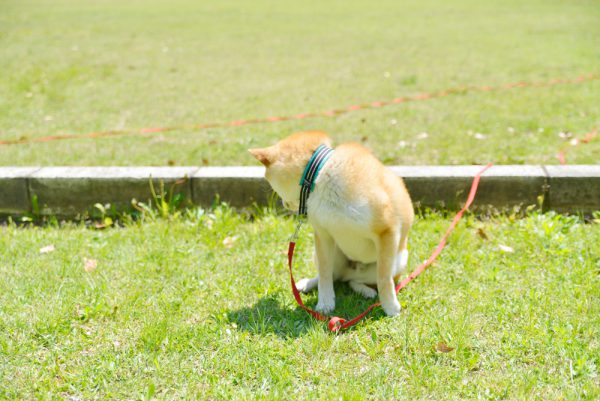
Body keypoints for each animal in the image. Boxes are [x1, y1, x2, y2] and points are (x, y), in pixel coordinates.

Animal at [248, 131, 412, 316]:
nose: (284, 204)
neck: (321, 174)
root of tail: (349, 269)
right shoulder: (323, 234)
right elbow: (325, 274)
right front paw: (325, 303)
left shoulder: (387, 230)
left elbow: (383, 278)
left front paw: (390, 306)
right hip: (331, 254)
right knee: (337, 277)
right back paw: (308, 283)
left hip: (398, 260)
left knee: (356, 280)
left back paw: (366, 290)